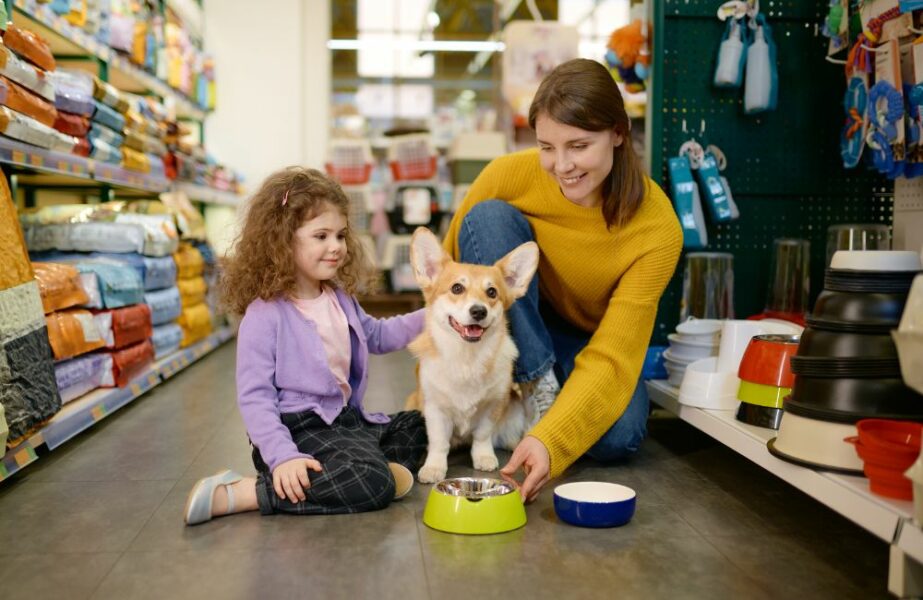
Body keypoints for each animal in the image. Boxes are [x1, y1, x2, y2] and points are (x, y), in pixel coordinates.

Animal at [406, 225, 540, 482]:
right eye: (457, 288)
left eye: (492, 292)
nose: (479, 311)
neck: (467, 357)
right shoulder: (435, 410)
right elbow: (439, 443)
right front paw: (434, 468)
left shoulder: (493, 406)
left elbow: (482, 436)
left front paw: (484, 457)